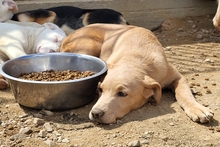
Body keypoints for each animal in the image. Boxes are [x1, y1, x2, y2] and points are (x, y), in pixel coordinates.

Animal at [59, 23, 213, 124]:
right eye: (100, 90)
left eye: (122, 94)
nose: (96, 113)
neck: (136, 59)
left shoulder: (177, 77)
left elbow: (184, 94)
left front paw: (197, 109)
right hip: (91, 46)